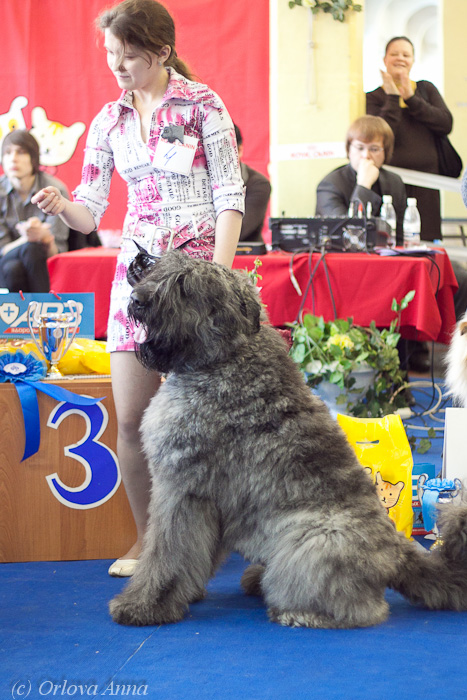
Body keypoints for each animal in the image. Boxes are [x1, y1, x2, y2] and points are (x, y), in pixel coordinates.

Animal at [109, 250, 467, 628]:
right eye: (161, 267)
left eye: (186, 287)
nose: (137, 300)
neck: (224, 357)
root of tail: (397, 549)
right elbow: (193, 556)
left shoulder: (181, 490)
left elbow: (165, 553)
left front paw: (144, 604)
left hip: (314, 540)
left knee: (359, 605)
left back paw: (300, 611)